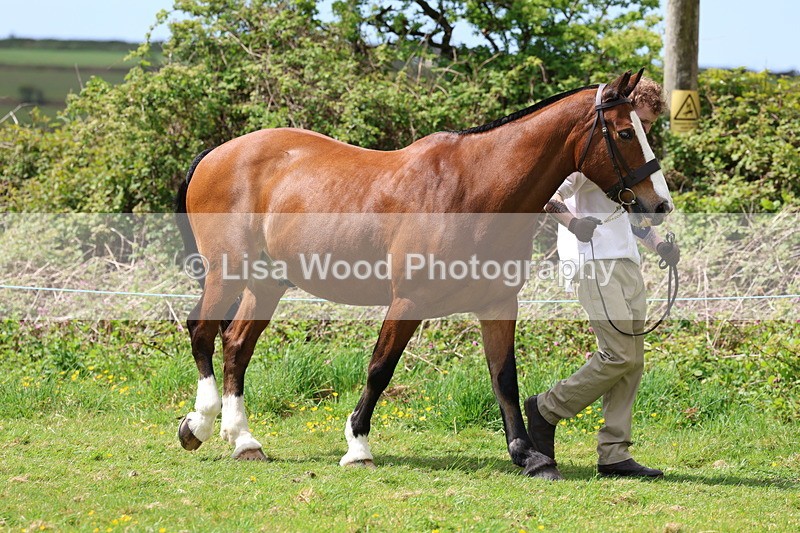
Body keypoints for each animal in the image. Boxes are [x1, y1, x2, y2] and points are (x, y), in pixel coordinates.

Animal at [174, 70, 673, 480]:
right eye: (625, 132)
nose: (660, 205)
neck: (472, 190)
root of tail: (216, 154)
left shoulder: (498, 304)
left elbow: (504, 376)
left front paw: (528, 455)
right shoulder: (408, 302)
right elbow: (380, 368)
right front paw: (358, 447)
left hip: (265, 282)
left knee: (237, 345)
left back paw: (243, 440)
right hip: (227, 272)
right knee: (202, 330)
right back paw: (199, 423)